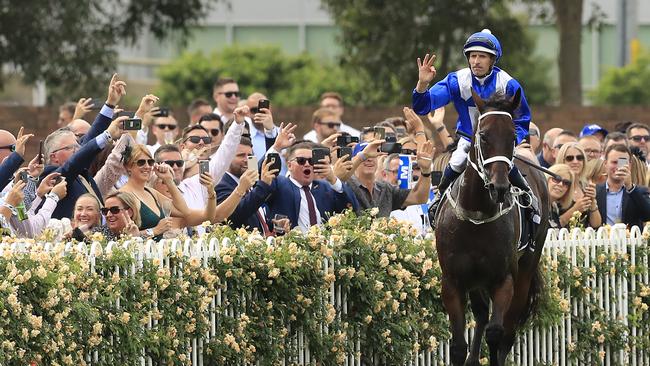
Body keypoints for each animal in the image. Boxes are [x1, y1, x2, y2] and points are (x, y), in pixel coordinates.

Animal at [436, 89, 548, 366]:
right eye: (484, 136)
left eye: (512, 136)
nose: (499, 187)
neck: (477, 215)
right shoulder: (453, 280)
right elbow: (458, 345)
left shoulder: (503, 278)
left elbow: (496, 334)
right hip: (477, 280)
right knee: (480, 314)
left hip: (525, 270)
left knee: (507, 331)